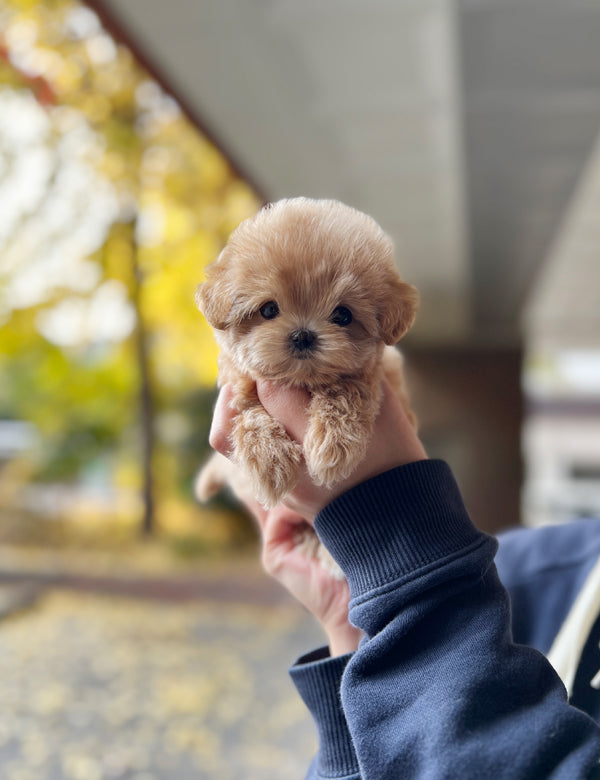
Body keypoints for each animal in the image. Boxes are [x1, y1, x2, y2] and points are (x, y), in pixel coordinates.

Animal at [196, 197, 418, 512]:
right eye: (268, 309)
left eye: (343, 315)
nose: (302, 335)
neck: (300, 381)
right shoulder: (237, 382)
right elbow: (248, 410)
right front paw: (269, 460)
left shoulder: (376, 372)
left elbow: (347, 389)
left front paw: (333, 444)